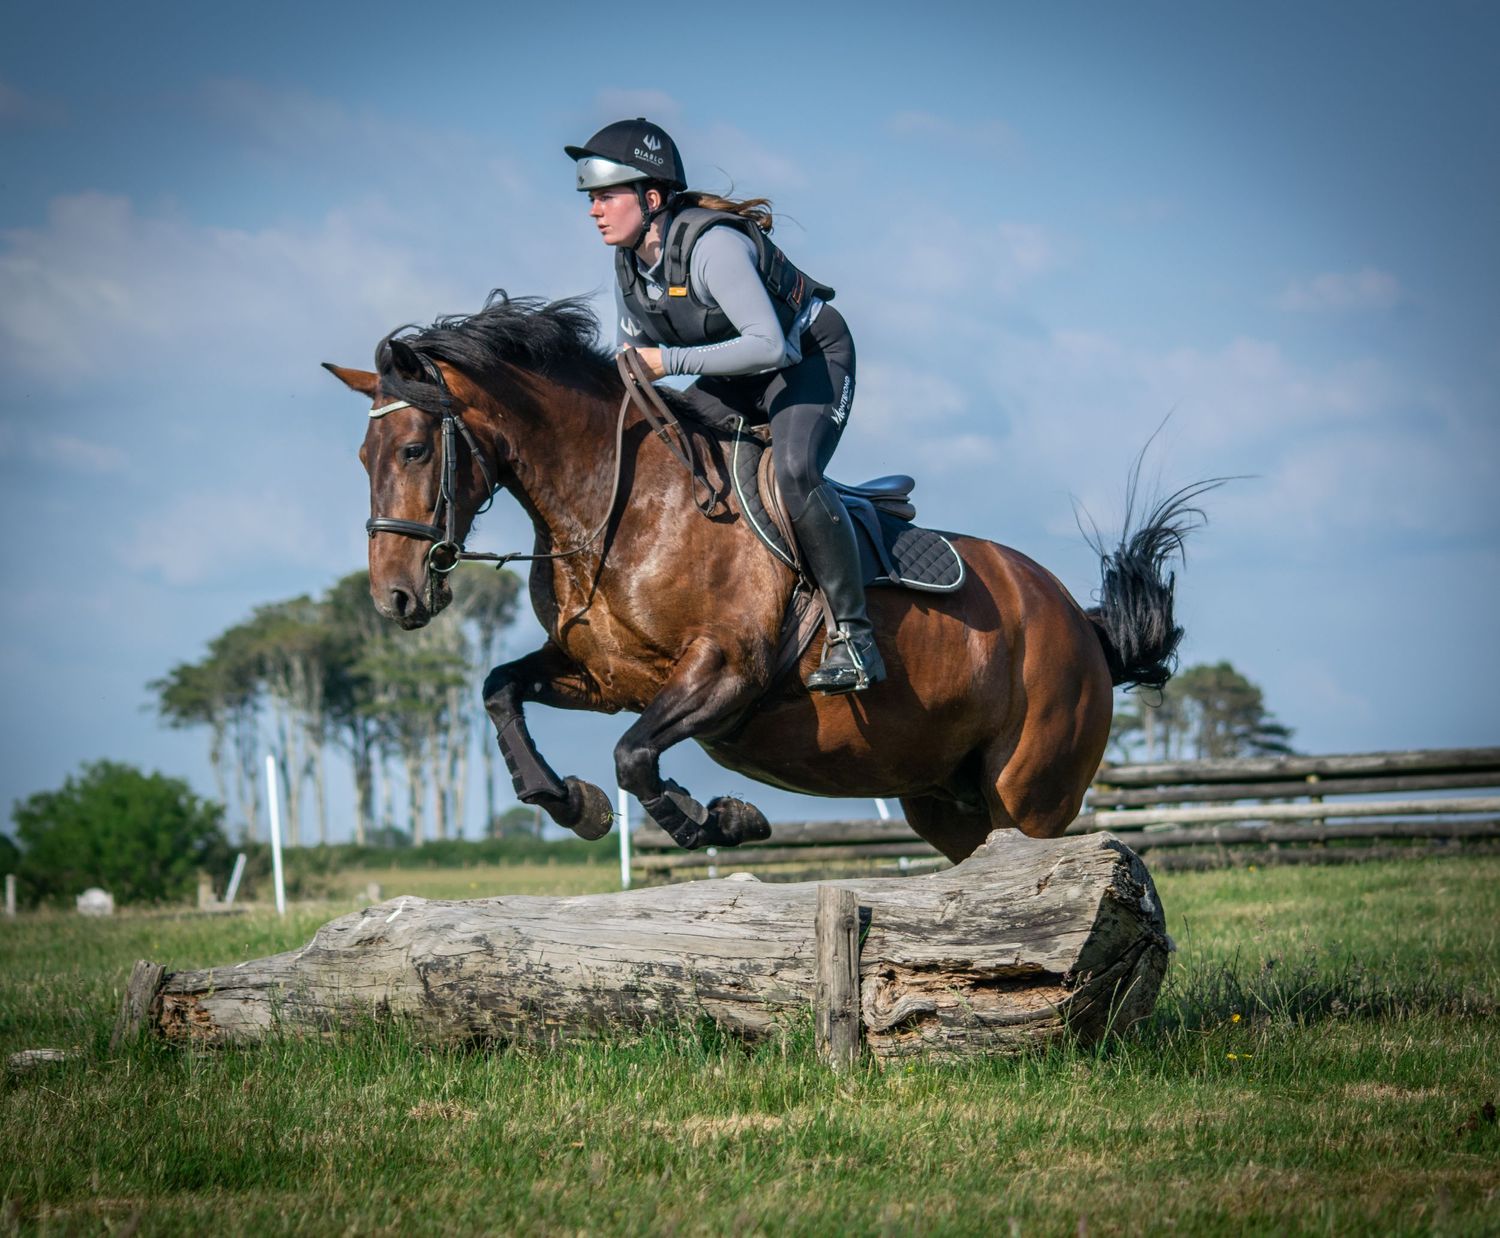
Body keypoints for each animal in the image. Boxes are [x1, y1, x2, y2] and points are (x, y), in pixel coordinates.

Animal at [325, 292, 1212, 862]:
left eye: (414, 450)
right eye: (362, 457)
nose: (396, 597)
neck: (616, 507)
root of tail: (1078, 622)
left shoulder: (725, 672)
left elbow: (633, 756)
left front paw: (718, 819)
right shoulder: (606, 676)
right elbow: (501, 691)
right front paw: (571, 803)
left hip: (1028, 793)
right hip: (942, 799)